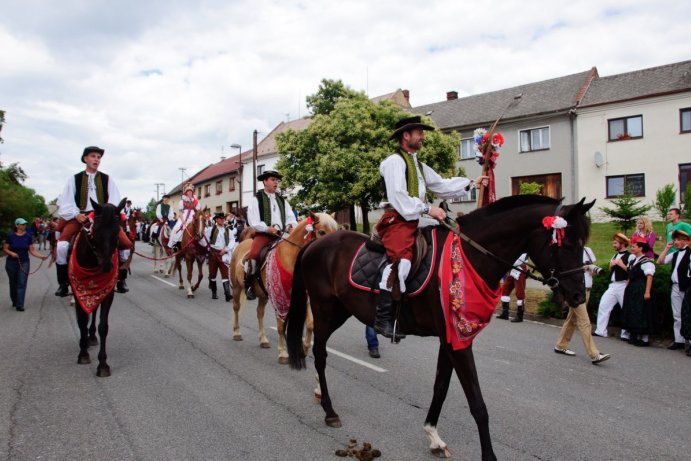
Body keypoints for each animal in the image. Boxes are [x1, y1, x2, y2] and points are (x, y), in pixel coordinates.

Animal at [69, 197, 127, 374]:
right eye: (95, 229)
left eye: (117, 231)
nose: (107, 267)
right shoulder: (78, 291)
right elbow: (81, 320)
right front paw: (83, 354)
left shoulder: (108, 292)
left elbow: (103, 326)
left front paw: (102, 364)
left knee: (93, 313)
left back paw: (92, 337)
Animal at [230, 212, 340, 362]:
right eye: (322, 232)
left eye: (337, 231)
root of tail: (241, 243)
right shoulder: (279, 298)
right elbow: (281, 326)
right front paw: (283, 353)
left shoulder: (303, 297)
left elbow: (310, 325)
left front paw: (304, 349)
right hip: (236, 287)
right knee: (236, 308)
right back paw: (236, 333)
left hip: (263, 295)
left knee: (260, 312)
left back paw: (263, 339)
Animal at [286, 195, 596, 460]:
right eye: (567, 245)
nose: (578, 296)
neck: (469, 257)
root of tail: (315, 244)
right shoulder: (457, 341)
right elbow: (477, 403)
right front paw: (488, 455)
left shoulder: (452, 339)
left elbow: (441, 387)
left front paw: (433, 437)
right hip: (325, 309)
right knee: (320, 352)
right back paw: (329, 410)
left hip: (341, 311)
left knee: (319, 350)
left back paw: (319, 393)